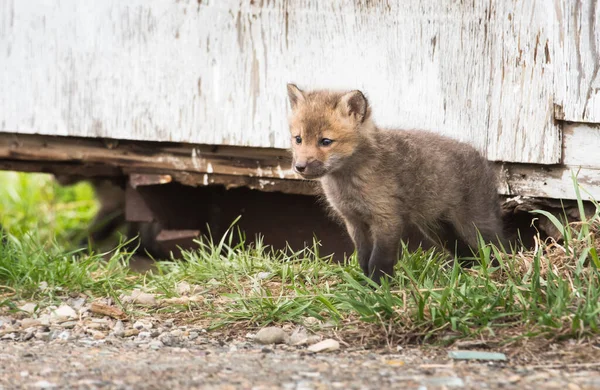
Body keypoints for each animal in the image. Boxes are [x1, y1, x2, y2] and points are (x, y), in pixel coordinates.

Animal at [286, 83, 506, 284]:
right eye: (298, 139)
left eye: (325, 141)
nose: (299, 167)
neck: (348, 183)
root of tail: (483, 158)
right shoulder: (354, 221)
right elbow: (364, 258)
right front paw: (366, 285)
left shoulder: (387, 219)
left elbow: (379, 260)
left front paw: (379, 287)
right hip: (439, 229)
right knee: (466, 253)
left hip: (475, 225)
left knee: (497, 247)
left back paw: (497, 274)